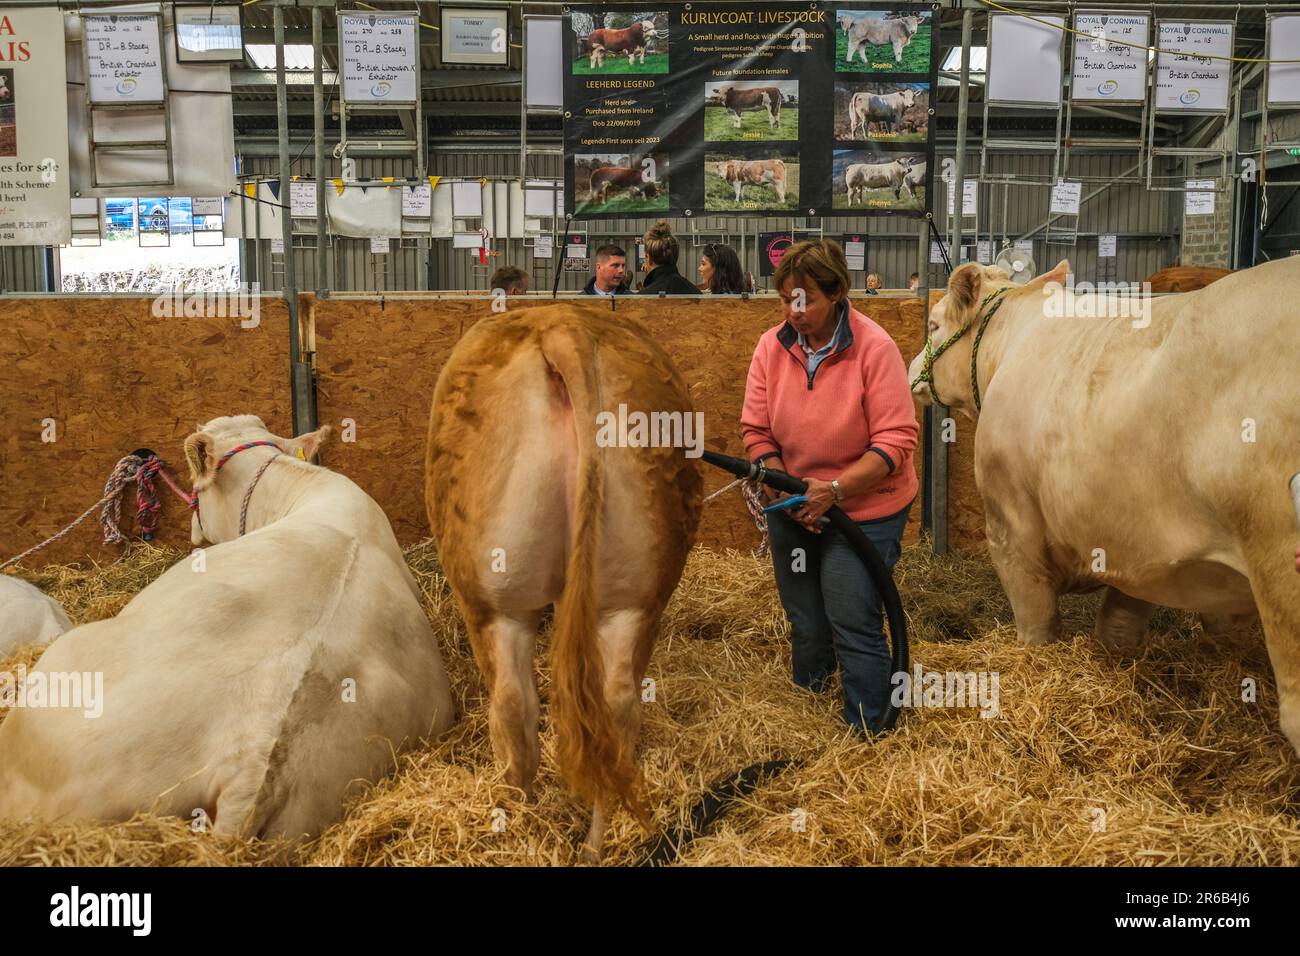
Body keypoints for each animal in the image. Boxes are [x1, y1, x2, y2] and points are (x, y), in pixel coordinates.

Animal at [428, 303, 702, 858]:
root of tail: (563, 325)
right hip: (633, 595)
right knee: (615, 711)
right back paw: (593, 845)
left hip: (492, 600)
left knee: (512, 708)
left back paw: (520, 826)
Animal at [909, 260, 1300, 764]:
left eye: (933, 325)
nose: (911, 370)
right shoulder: (1143, 548)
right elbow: (1118, 625)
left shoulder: (1011, 525)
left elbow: (1036, 620)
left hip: (1279, 567)